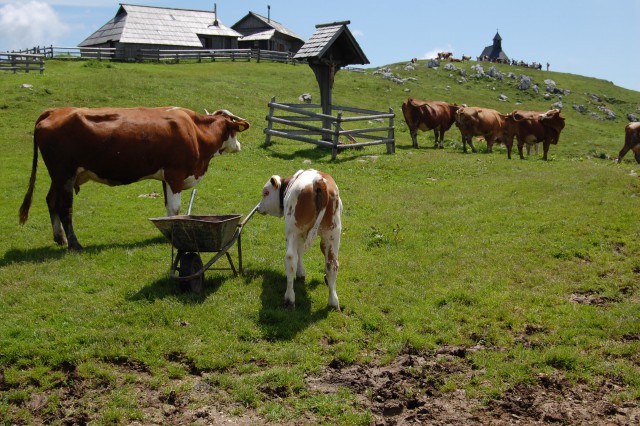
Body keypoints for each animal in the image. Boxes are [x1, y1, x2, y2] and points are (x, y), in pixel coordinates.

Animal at [18, 106, 249, 251]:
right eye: (234, 131)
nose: (239, 146)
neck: (195, 130)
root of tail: (55, 111)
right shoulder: (175, 173)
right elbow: (175, 209)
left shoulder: (165, 177)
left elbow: (168, 208)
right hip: (64, 174)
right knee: (65, 208)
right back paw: (75, 244)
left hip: (58, 177)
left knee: (51, 201)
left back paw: (60, 238)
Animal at [258, 168, 342, 312]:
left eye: (266, 193)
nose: (258, 208)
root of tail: (318, 181)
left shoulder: (298, 233)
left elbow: (299, 252)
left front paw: (300, 273)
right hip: (333, 233)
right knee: (332, 264)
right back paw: (333, 301)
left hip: (293, 230)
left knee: (291, 258)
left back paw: (289, 298)